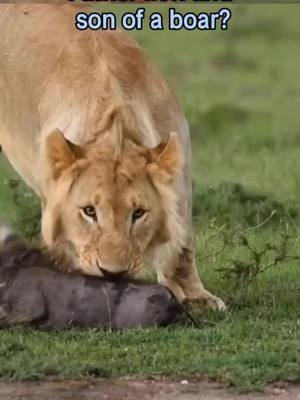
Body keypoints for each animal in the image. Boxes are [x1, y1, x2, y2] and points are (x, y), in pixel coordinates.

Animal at [0, 3, 225, 310]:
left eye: (138, 213)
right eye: (89, 211)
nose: (113, 274)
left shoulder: (180, 167)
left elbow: (182, 244)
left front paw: (196, 298)